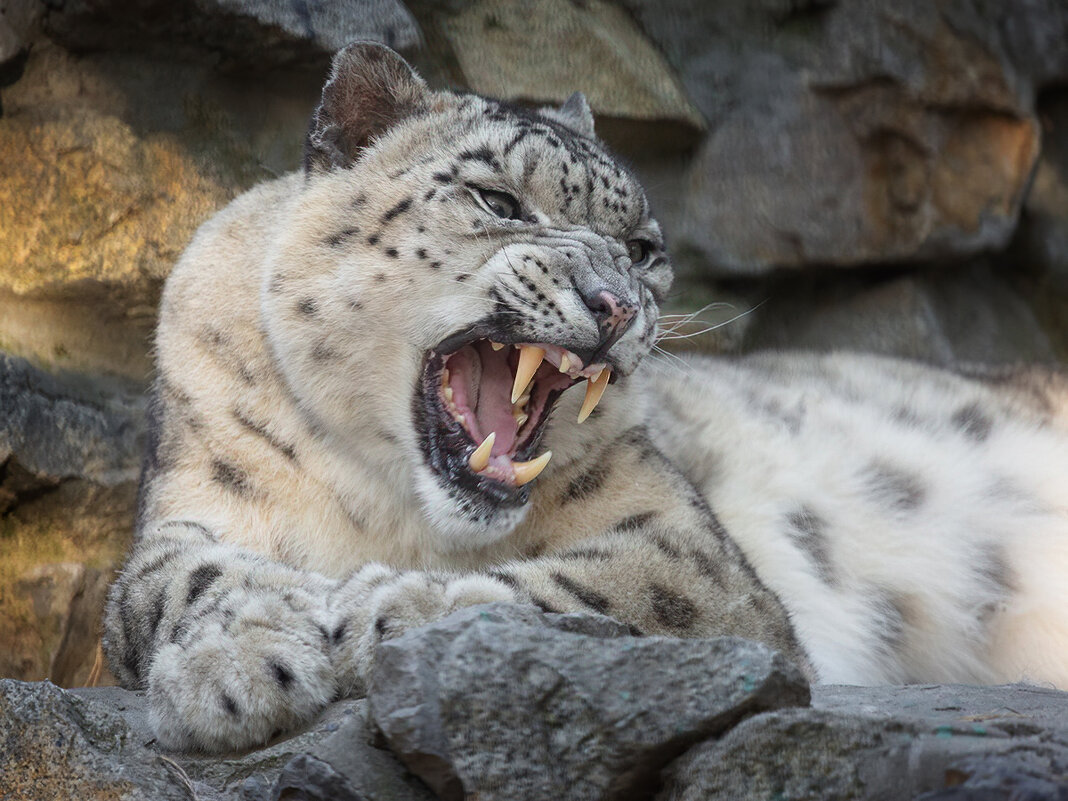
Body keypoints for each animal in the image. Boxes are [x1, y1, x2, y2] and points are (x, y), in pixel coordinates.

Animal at [101, 40, 1068, 756]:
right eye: (497, 197)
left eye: (642, 247)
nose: (617, 303)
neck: (397, 502)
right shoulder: (195, 498)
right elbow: (169, 579)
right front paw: (236, 661)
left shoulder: (686, 545)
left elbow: (602, 585)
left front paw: (387, 609)